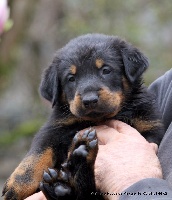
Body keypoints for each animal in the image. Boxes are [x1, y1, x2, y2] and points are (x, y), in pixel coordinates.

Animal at [2, 33, 164, 199]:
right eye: (71, 78)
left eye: (106, 70)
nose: (90, 100)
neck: (100, 118)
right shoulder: (54, 129)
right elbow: (37, 155)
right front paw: (16, 186)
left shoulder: (149, 127)